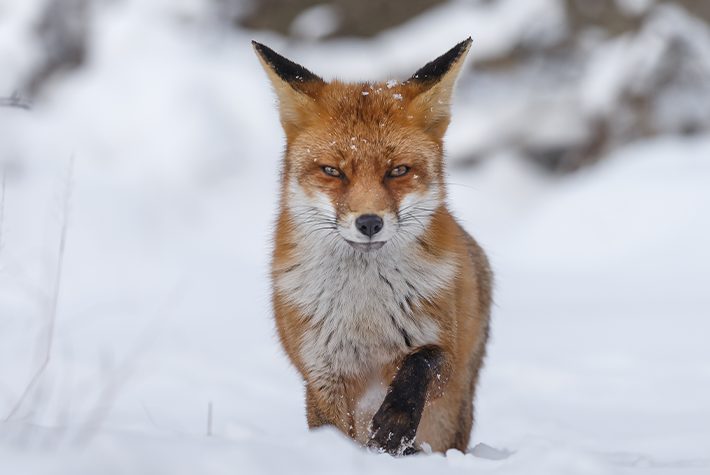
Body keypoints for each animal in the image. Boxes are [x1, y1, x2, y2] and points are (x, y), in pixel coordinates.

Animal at [253, 38, 492, 456]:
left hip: (450, 413)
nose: (369, 223)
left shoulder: (443, 350)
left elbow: (421, 363)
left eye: (398, 171)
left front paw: (395, 424)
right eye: (333, 171)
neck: (364, 314)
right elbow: (332, 430)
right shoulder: (321, 372)